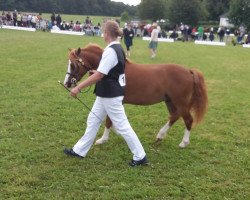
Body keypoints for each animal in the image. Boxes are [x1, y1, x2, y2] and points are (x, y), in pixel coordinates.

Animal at [63, 43, 208, 148]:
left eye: (73, 64)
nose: (67, 83)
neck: (112, 71)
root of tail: (189, 71)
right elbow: (110, 121)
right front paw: (116, 132)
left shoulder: (114, 101)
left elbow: (109, 121)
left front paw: (103, 139)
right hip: (170, 101)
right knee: (174, 117)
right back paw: (160, 136)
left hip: (180, 102)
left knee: (188, 120)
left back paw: (183, 143)